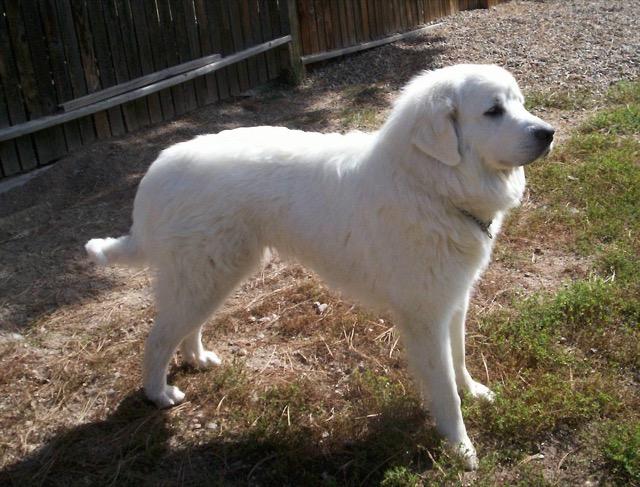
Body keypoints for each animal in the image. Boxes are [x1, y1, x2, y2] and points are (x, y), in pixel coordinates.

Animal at [87, 65, 552, 468]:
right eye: (493, 111)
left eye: (519, 102)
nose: (549, 133)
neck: (428, 184)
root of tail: (157, 169)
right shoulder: (425, 316)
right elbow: (445, 390)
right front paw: (461, 450)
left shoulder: (453, 301)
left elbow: (460, 360)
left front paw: (474, 393)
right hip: (205, 276)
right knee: (156, 339)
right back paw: (158, 393)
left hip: (215, 275)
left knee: (185, 328)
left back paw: (198, 359)